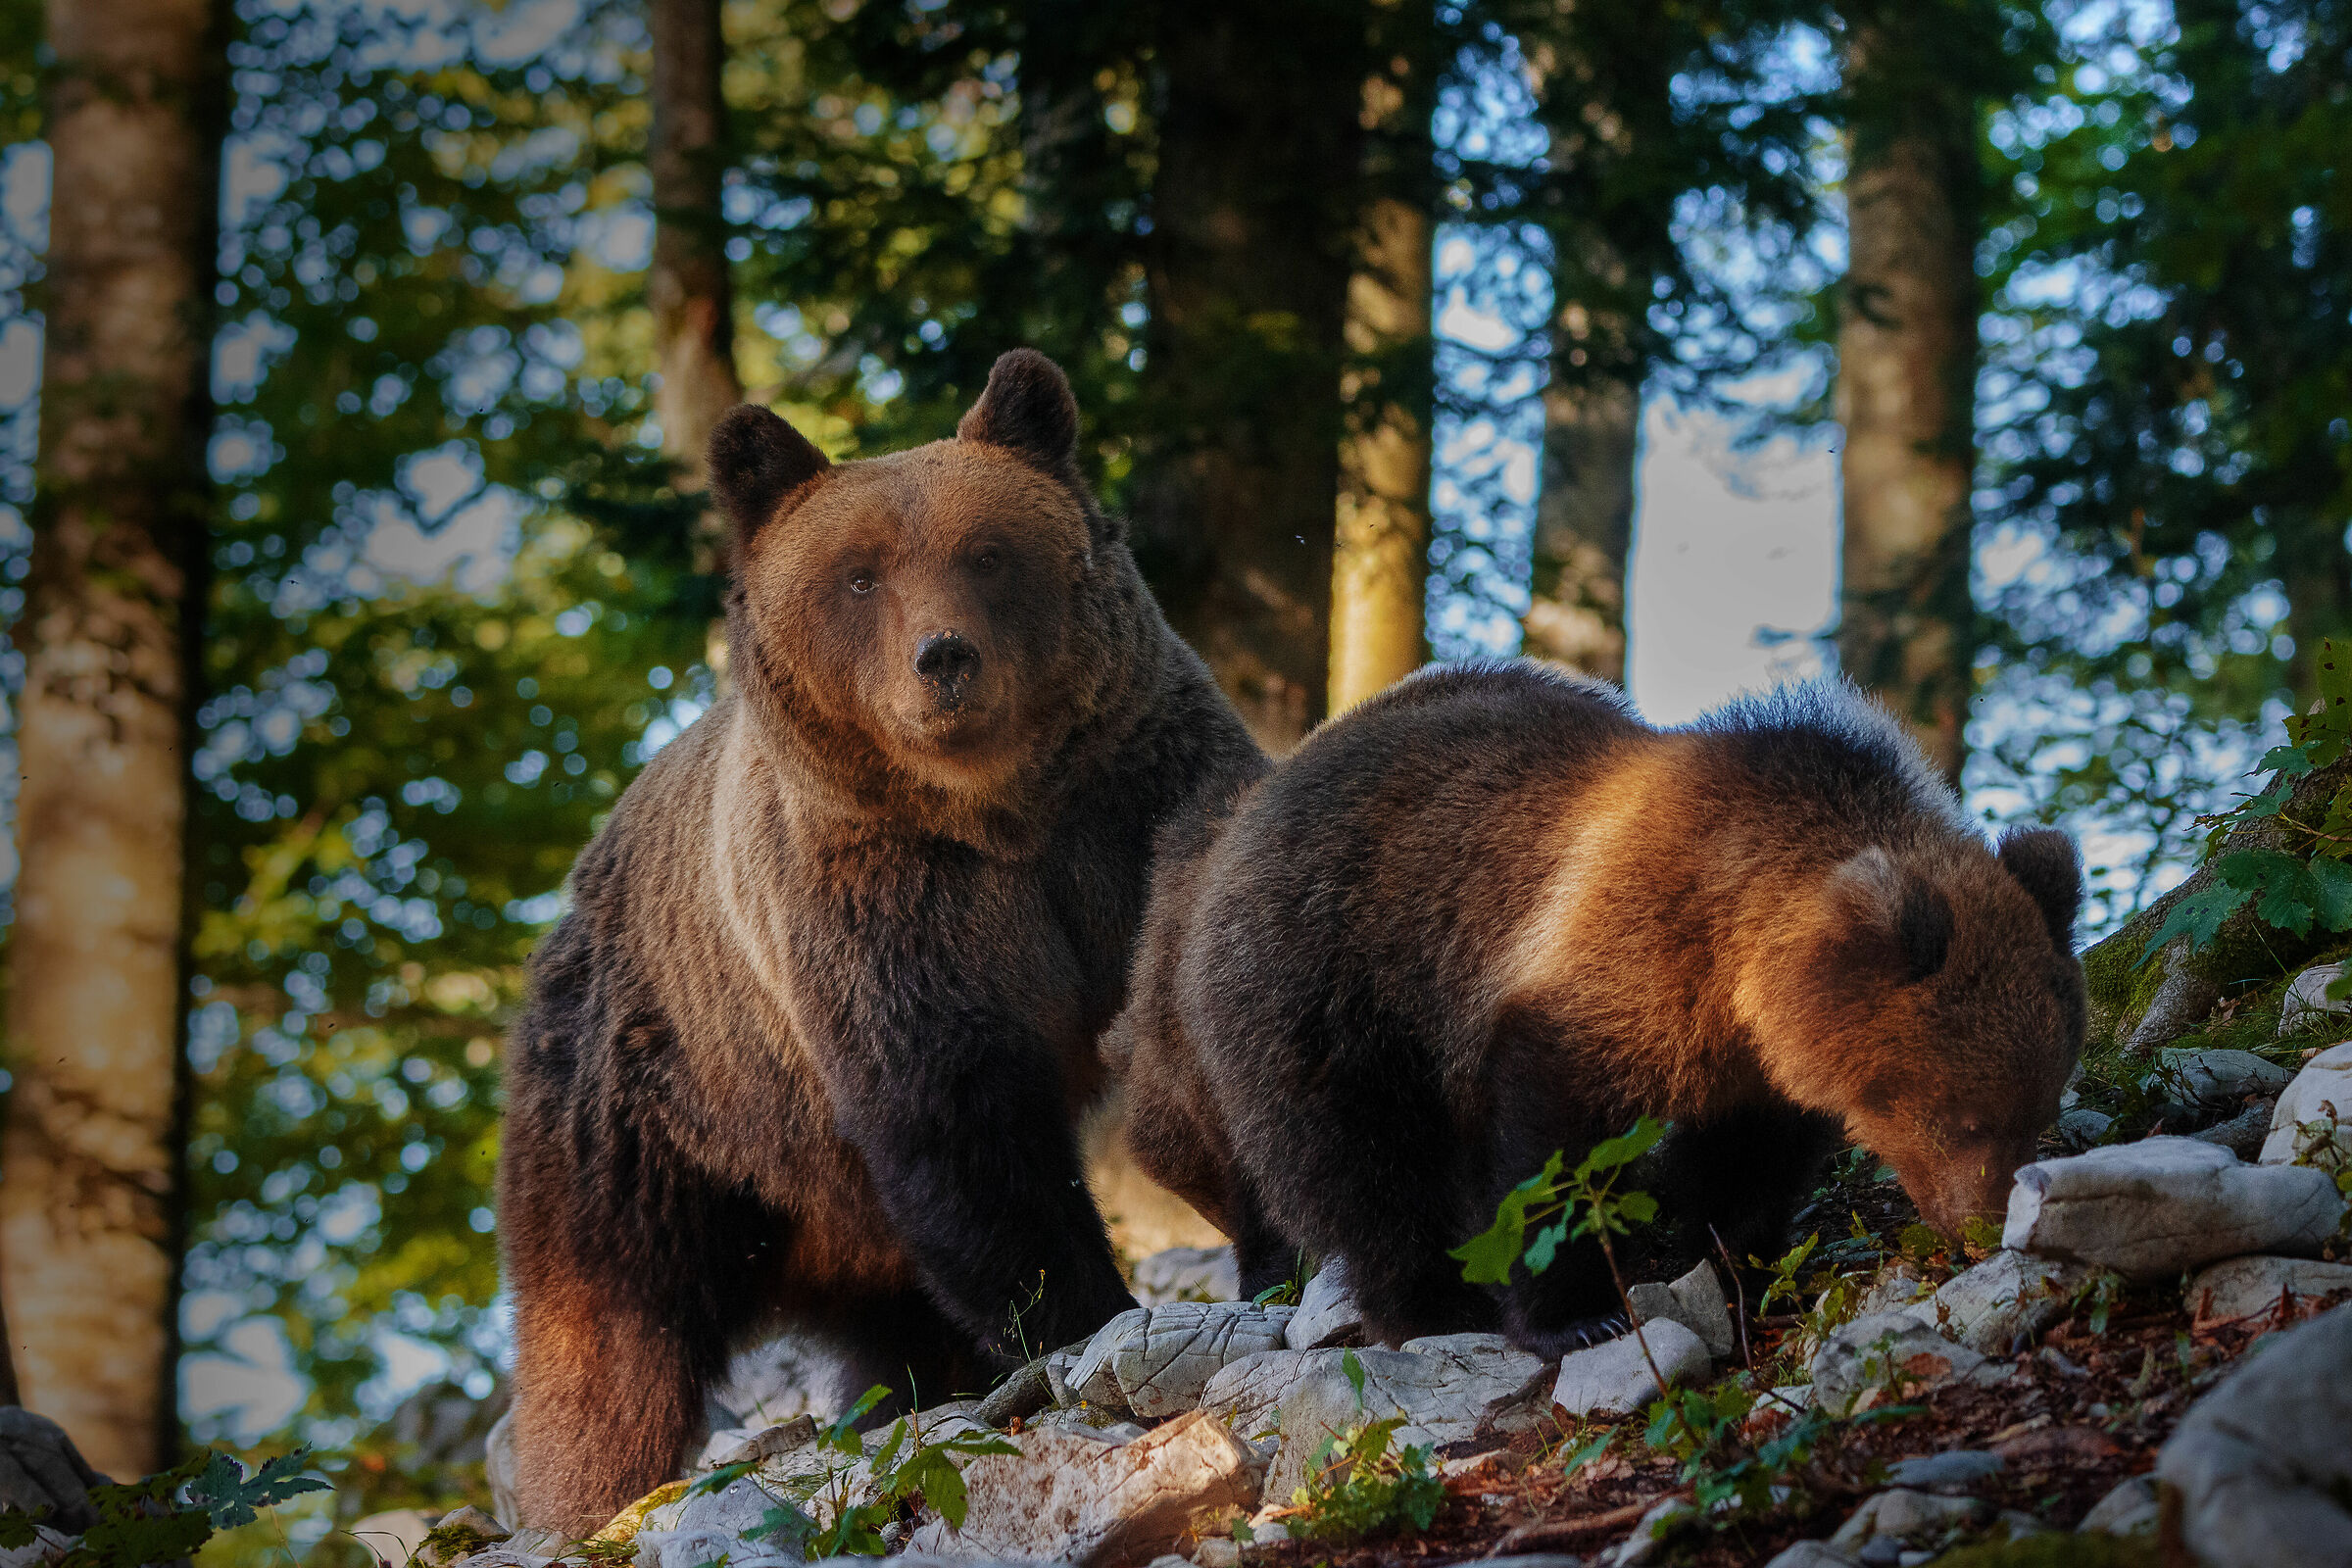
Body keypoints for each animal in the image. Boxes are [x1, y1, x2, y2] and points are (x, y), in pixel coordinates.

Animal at [498, 349, 1266, 1533]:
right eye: (858, 577)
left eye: (987, 552)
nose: (941, 658)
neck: (997, 809)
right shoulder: (882, 902)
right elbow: (958, 1106)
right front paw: (1083, 1316)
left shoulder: (1134, 805)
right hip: (655, 1101)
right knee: (609, 1325)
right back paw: (590, 1492)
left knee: (885, 1310)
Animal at [1111, 659, 2084, 1355]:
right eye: (1963, 1119)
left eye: (2036, 1109)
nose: (1983, 1227)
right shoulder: (1612, 967)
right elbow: (1553, 1148)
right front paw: (1578, 1315)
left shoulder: (1751, 1065)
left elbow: (1746, 1166)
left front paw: (1737, 1264)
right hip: (1331, 975)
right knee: (1358, 1164)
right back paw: (1431, 1305)